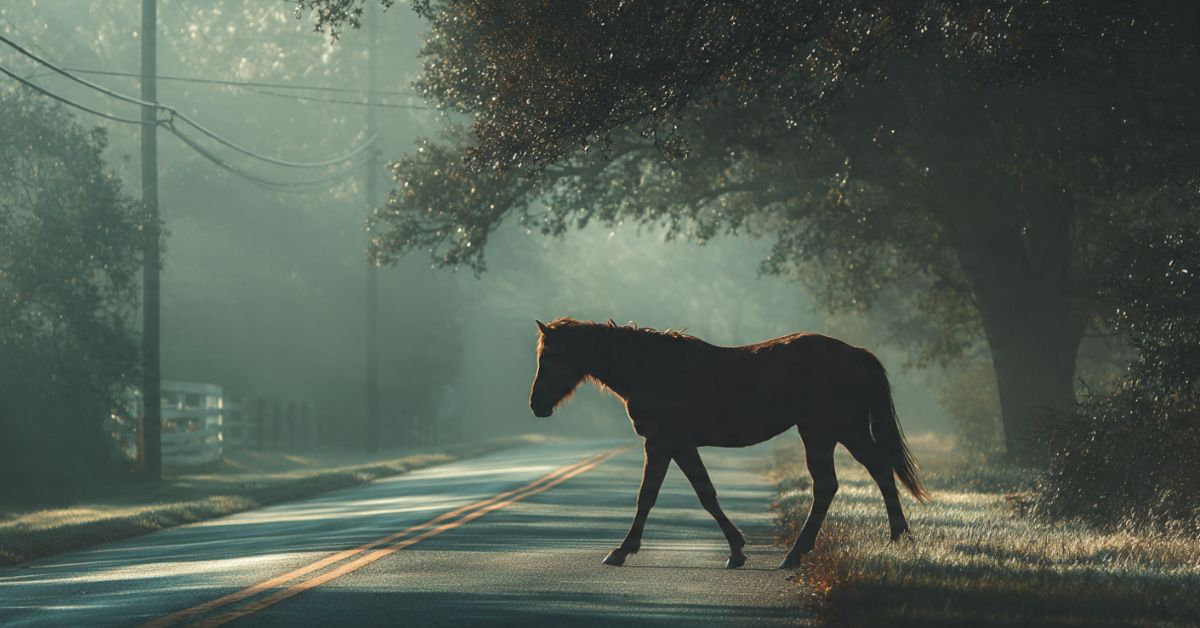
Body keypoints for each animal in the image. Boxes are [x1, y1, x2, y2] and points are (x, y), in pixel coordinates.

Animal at [528, 317, 928, 569]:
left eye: (549, 357)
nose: (536, 405)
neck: (653, 369)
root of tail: (858, 353)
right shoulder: (678, 446)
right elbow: (705, 494)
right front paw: (736, 550)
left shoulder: (661, 443)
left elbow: (650, 497)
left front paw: (621, 551)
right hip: (833, 433)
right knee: (861, 475)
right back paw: (894, 539)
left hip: (828, 432)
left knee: (848, 479)